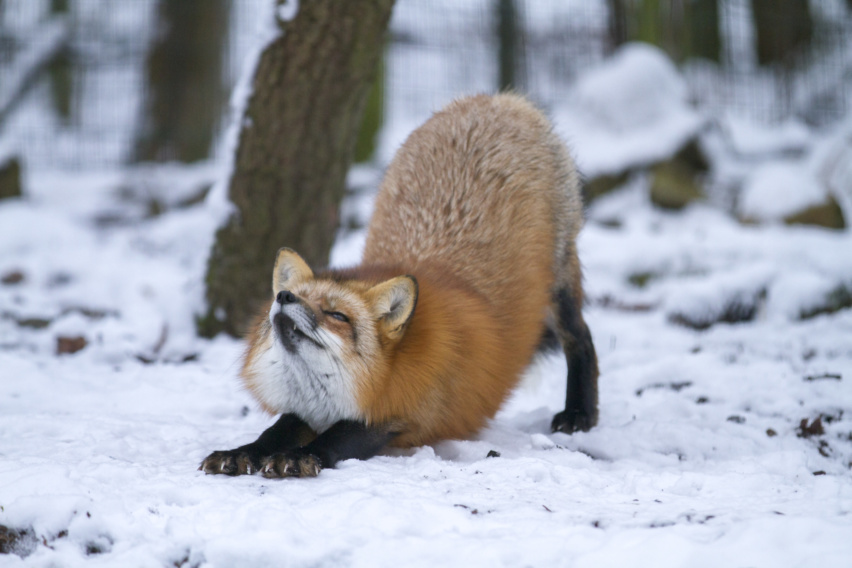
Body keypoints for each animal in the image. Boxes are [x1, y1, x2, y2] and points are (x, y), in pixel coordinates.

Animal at [200, 94, 600, 480]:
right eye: (297, 296)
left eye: (336, 315)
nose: (283, 296)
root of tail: (501, 99)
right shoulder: (307, 411)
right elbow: (274, 432)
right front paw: (241, 452)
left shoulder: (404, 414)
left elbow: (337, 438)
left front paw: (298, 457)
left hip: (559, 287)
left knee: (580, 337)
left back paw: (580, 413)